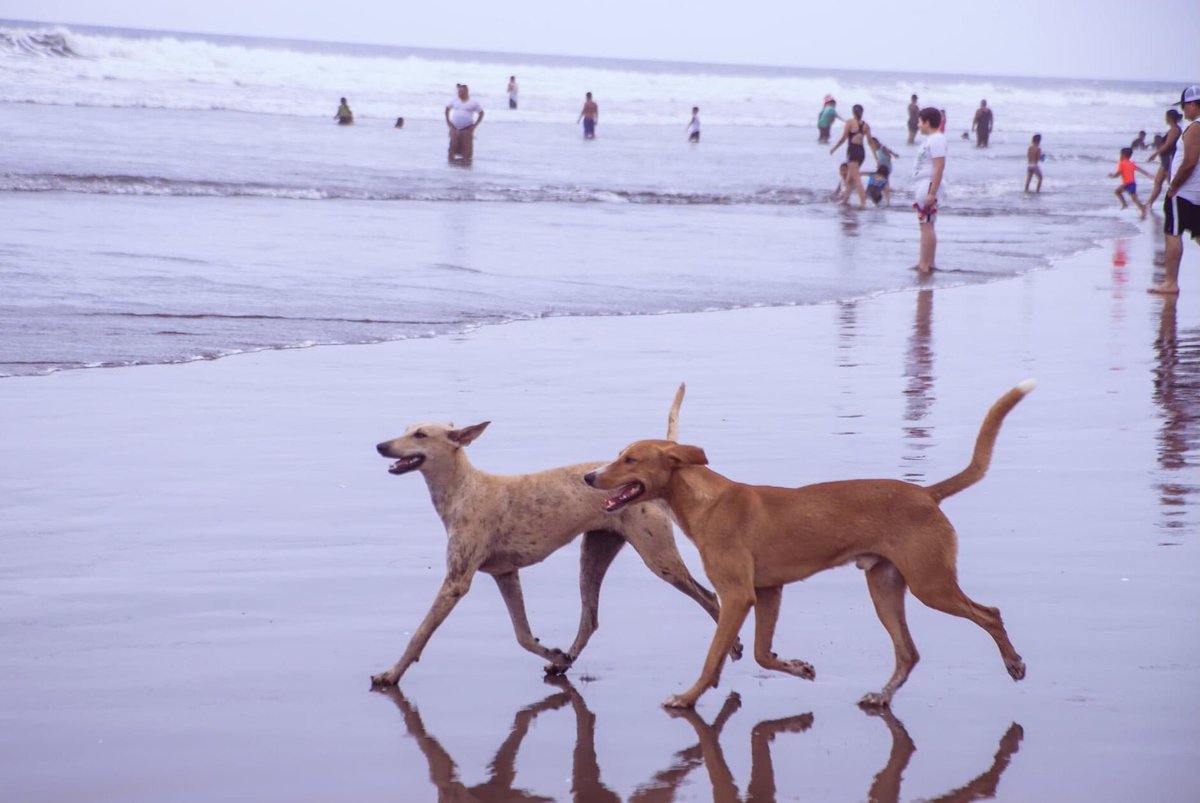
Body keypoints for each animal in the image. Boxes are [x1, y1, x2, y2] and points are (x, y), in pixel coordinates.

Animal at [580, 379, 1032, 705]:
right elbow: (761, 653)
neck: (704, 500)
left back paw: (1014, 664)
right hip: (885, 587)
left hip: (930, 584)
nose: (588, 476)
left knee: (990, 614)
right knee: (908, 652)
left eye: (630, 459)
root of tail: (927, 494)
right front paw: (798, 668)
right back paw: (882, 696)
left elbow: (714, 657)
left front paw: (688, 698)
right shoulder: (768, 591)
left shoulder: (737, 595)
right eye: (619, 455)